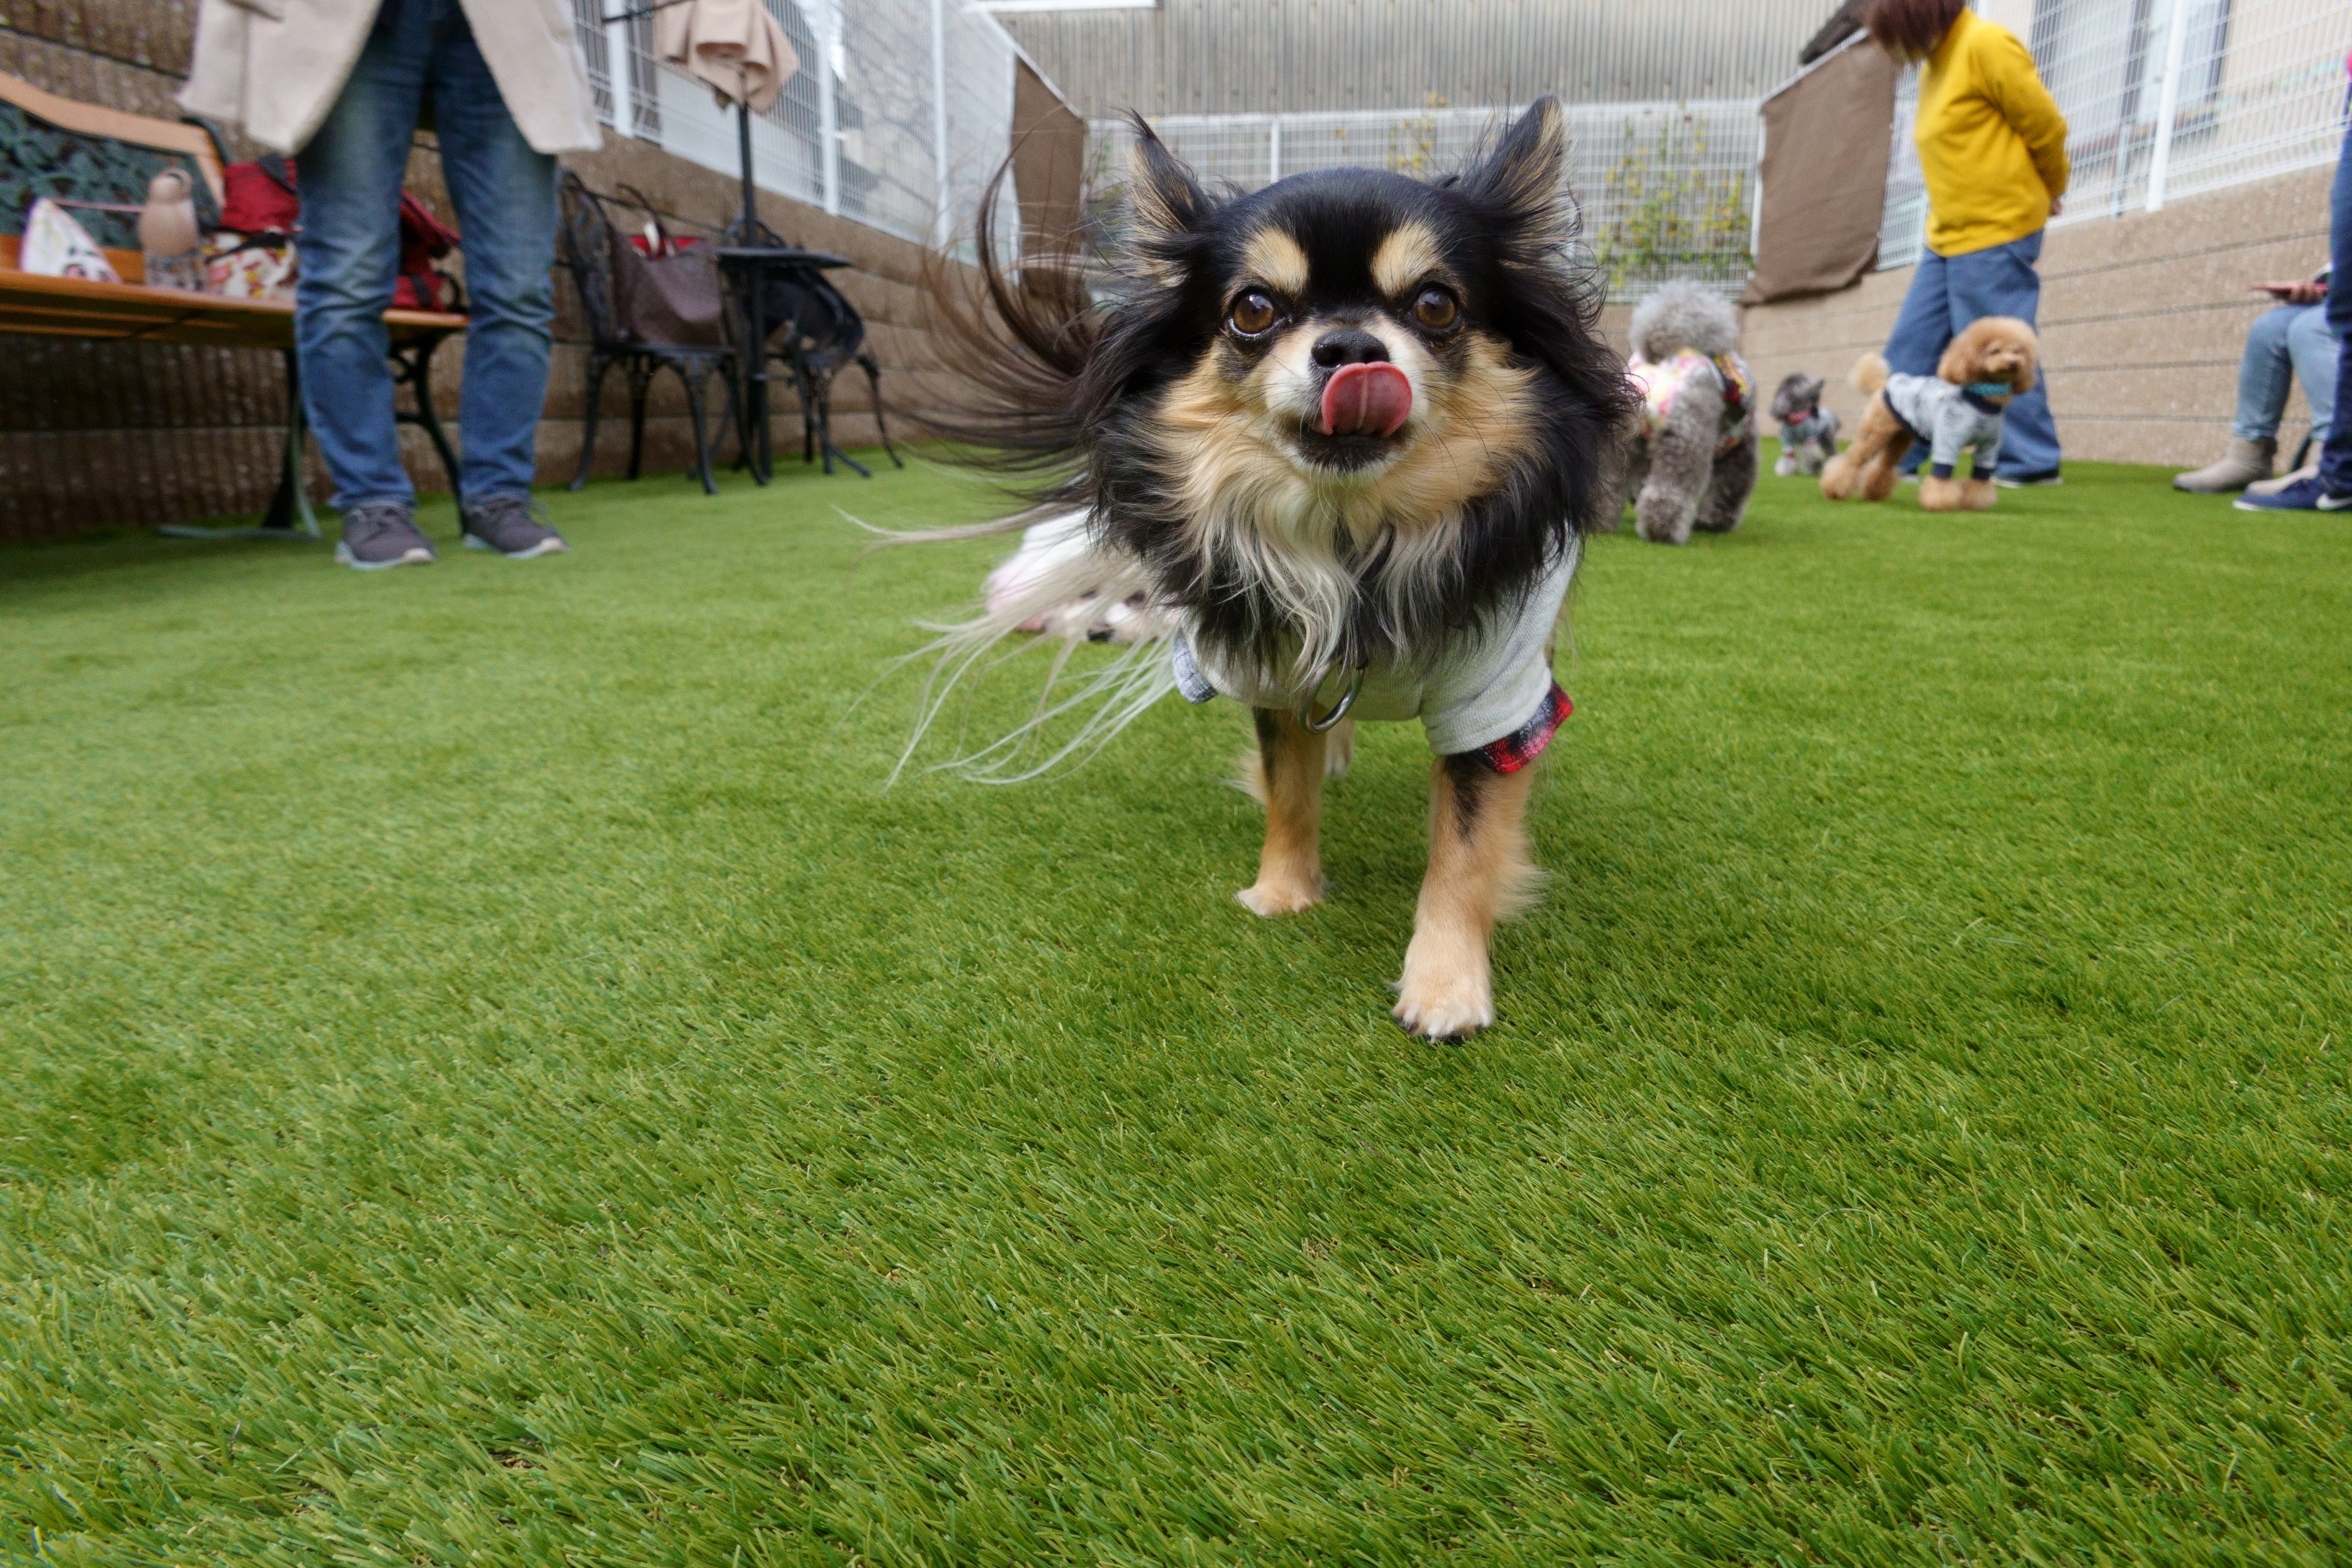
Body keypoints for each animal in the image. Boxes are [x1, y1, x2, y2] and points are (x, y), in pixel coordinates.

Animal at [903, 104, 1637, 1044]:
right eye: (1253, 309)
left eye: (1435, 304)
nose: (1352, 344)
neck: (1353, 537)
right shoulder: (1275, 667)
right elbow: (1287, 786)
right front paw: (1283, 892)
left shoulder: (1495, 697)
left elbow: (1465, 849)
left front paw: (1446, 985)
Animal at [1769, 371, 1834, 475]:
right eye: (1805, 379)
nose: (1822, 381)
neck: (1796, 417)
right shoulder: (1787, 440)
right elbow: (1789, 456)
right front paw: (1787, 471)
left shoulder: (1809, 438)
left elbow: (1811, 454)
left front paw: (1814, 467)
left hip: (1827, 438)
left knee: (1831, 452)